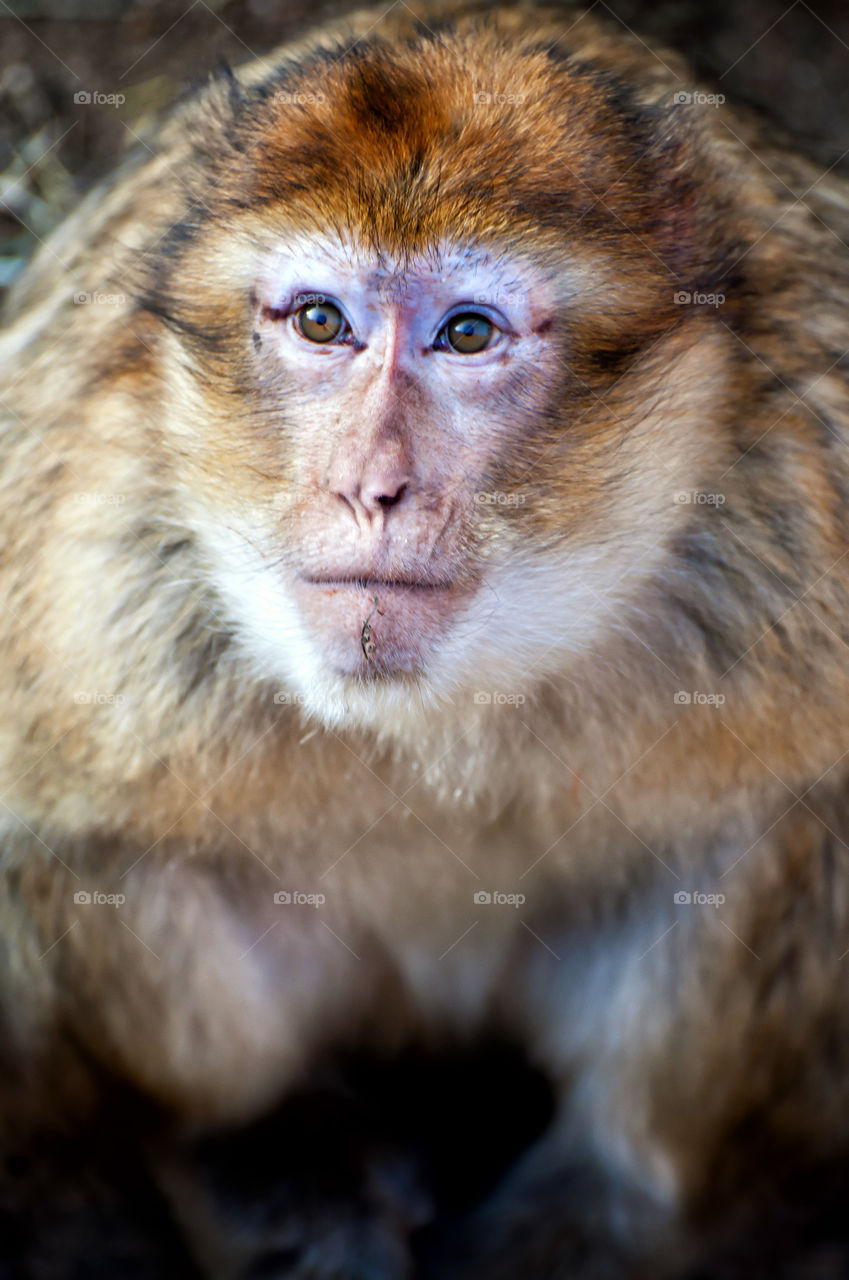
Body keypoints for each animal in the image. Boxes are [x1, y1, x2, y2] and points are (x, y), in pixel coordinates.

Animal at [3, 0, 849, 1274]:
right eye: (320, 322)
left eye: (465, 333)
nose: (371, 484)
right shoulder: (83, 554)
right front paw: (251, 1133)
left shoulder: (803, 504)